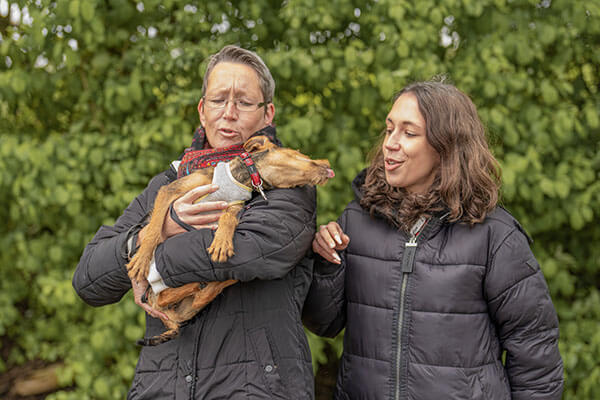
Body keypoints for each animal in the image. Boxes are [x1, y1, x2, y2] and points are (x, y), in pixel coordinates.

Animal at [127, 135, 334, 345]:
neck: (239, 179)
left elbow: (228, 218)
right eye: (299, 153)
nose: (328, 164)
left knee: (195, 296)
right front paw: (141, 259)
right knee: (167, 296)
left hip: (185, 304)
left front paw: (221, 243)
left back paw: (215, 282)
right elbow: (154, 228)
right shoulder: (170, 191)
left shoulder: (234, 206)